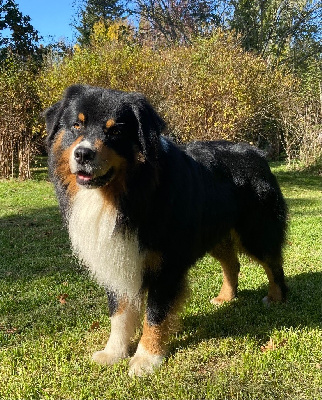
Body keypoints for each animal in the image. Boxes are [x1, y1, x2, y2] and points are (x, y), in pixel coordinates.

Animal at [44, 83, 286, 376]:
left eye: (115, 131)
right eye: (76, 125)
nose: (82, 154)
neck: (126, 194)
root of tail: (256, 153)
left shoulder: (166, 265)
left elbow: (155, 315)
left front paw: (146, 358)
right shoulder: (118, 258)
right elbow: (119, 313)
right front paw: (114, 352)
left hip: (255, 230)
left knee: (273, 261)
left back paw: (276, 297)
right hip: (214, 233)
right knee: (232, 262)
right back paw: (226, 297)